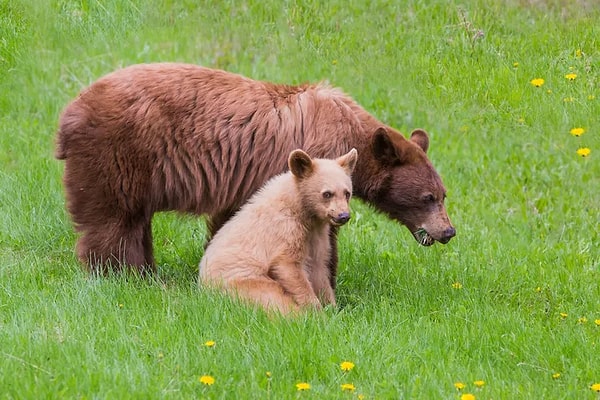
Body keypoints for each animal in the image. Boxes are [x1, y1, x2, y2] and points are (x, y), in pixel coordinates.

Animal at [55, 63, 454, 276]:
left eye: (443, 194)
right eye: (427, 197)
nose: (448, 232)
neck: (351, 134)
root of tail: (70, 113)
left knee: (134, 220)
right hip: (119, 153)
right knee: (113, 219)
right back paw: (122, 275)